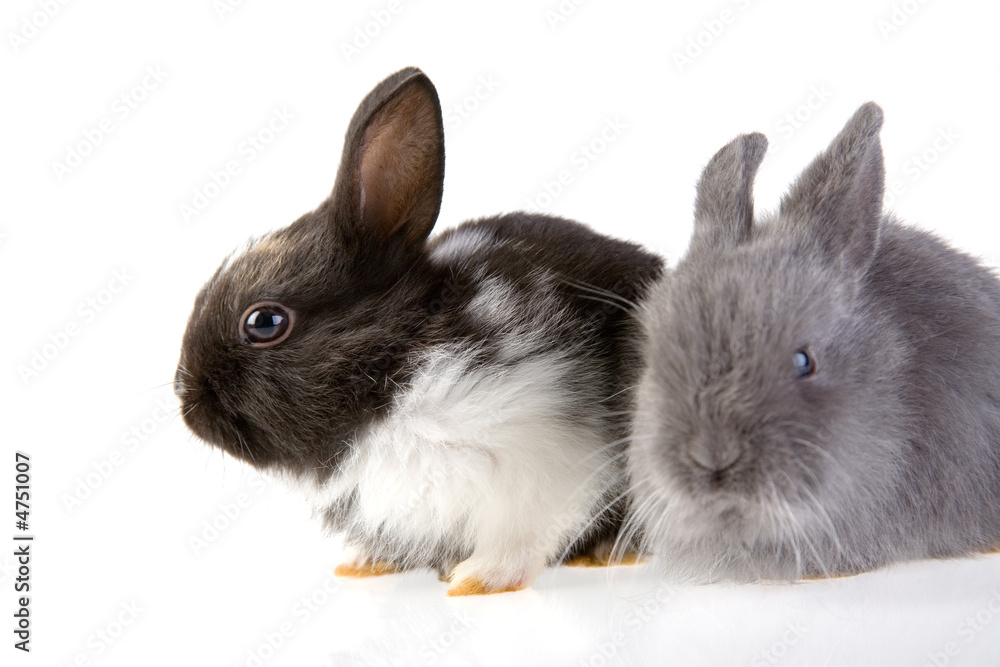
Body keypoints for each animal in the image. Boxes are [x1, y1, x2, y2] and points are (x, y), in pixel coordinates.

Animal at [174, 67, 663, 595]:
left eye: (265, 322)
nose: (187, 402)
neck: (391, 375)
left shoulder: (543, 456)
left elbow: (521, 539)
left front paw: (476, 581)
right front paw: (363, 565)